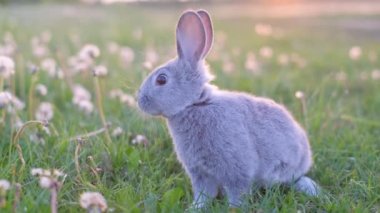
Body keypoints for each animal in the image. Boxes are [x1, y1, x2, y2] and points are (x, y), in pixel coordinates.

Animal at [137, 10, 320, 208]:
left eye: (161, 80)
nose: (139, 100)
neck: (195, 104)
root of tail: (306, 157)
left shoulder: (236, 168)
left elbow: (237, 191)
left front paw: (234, 208)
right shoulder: (200, 172)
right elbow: (204, 194)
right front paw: (196, 207)